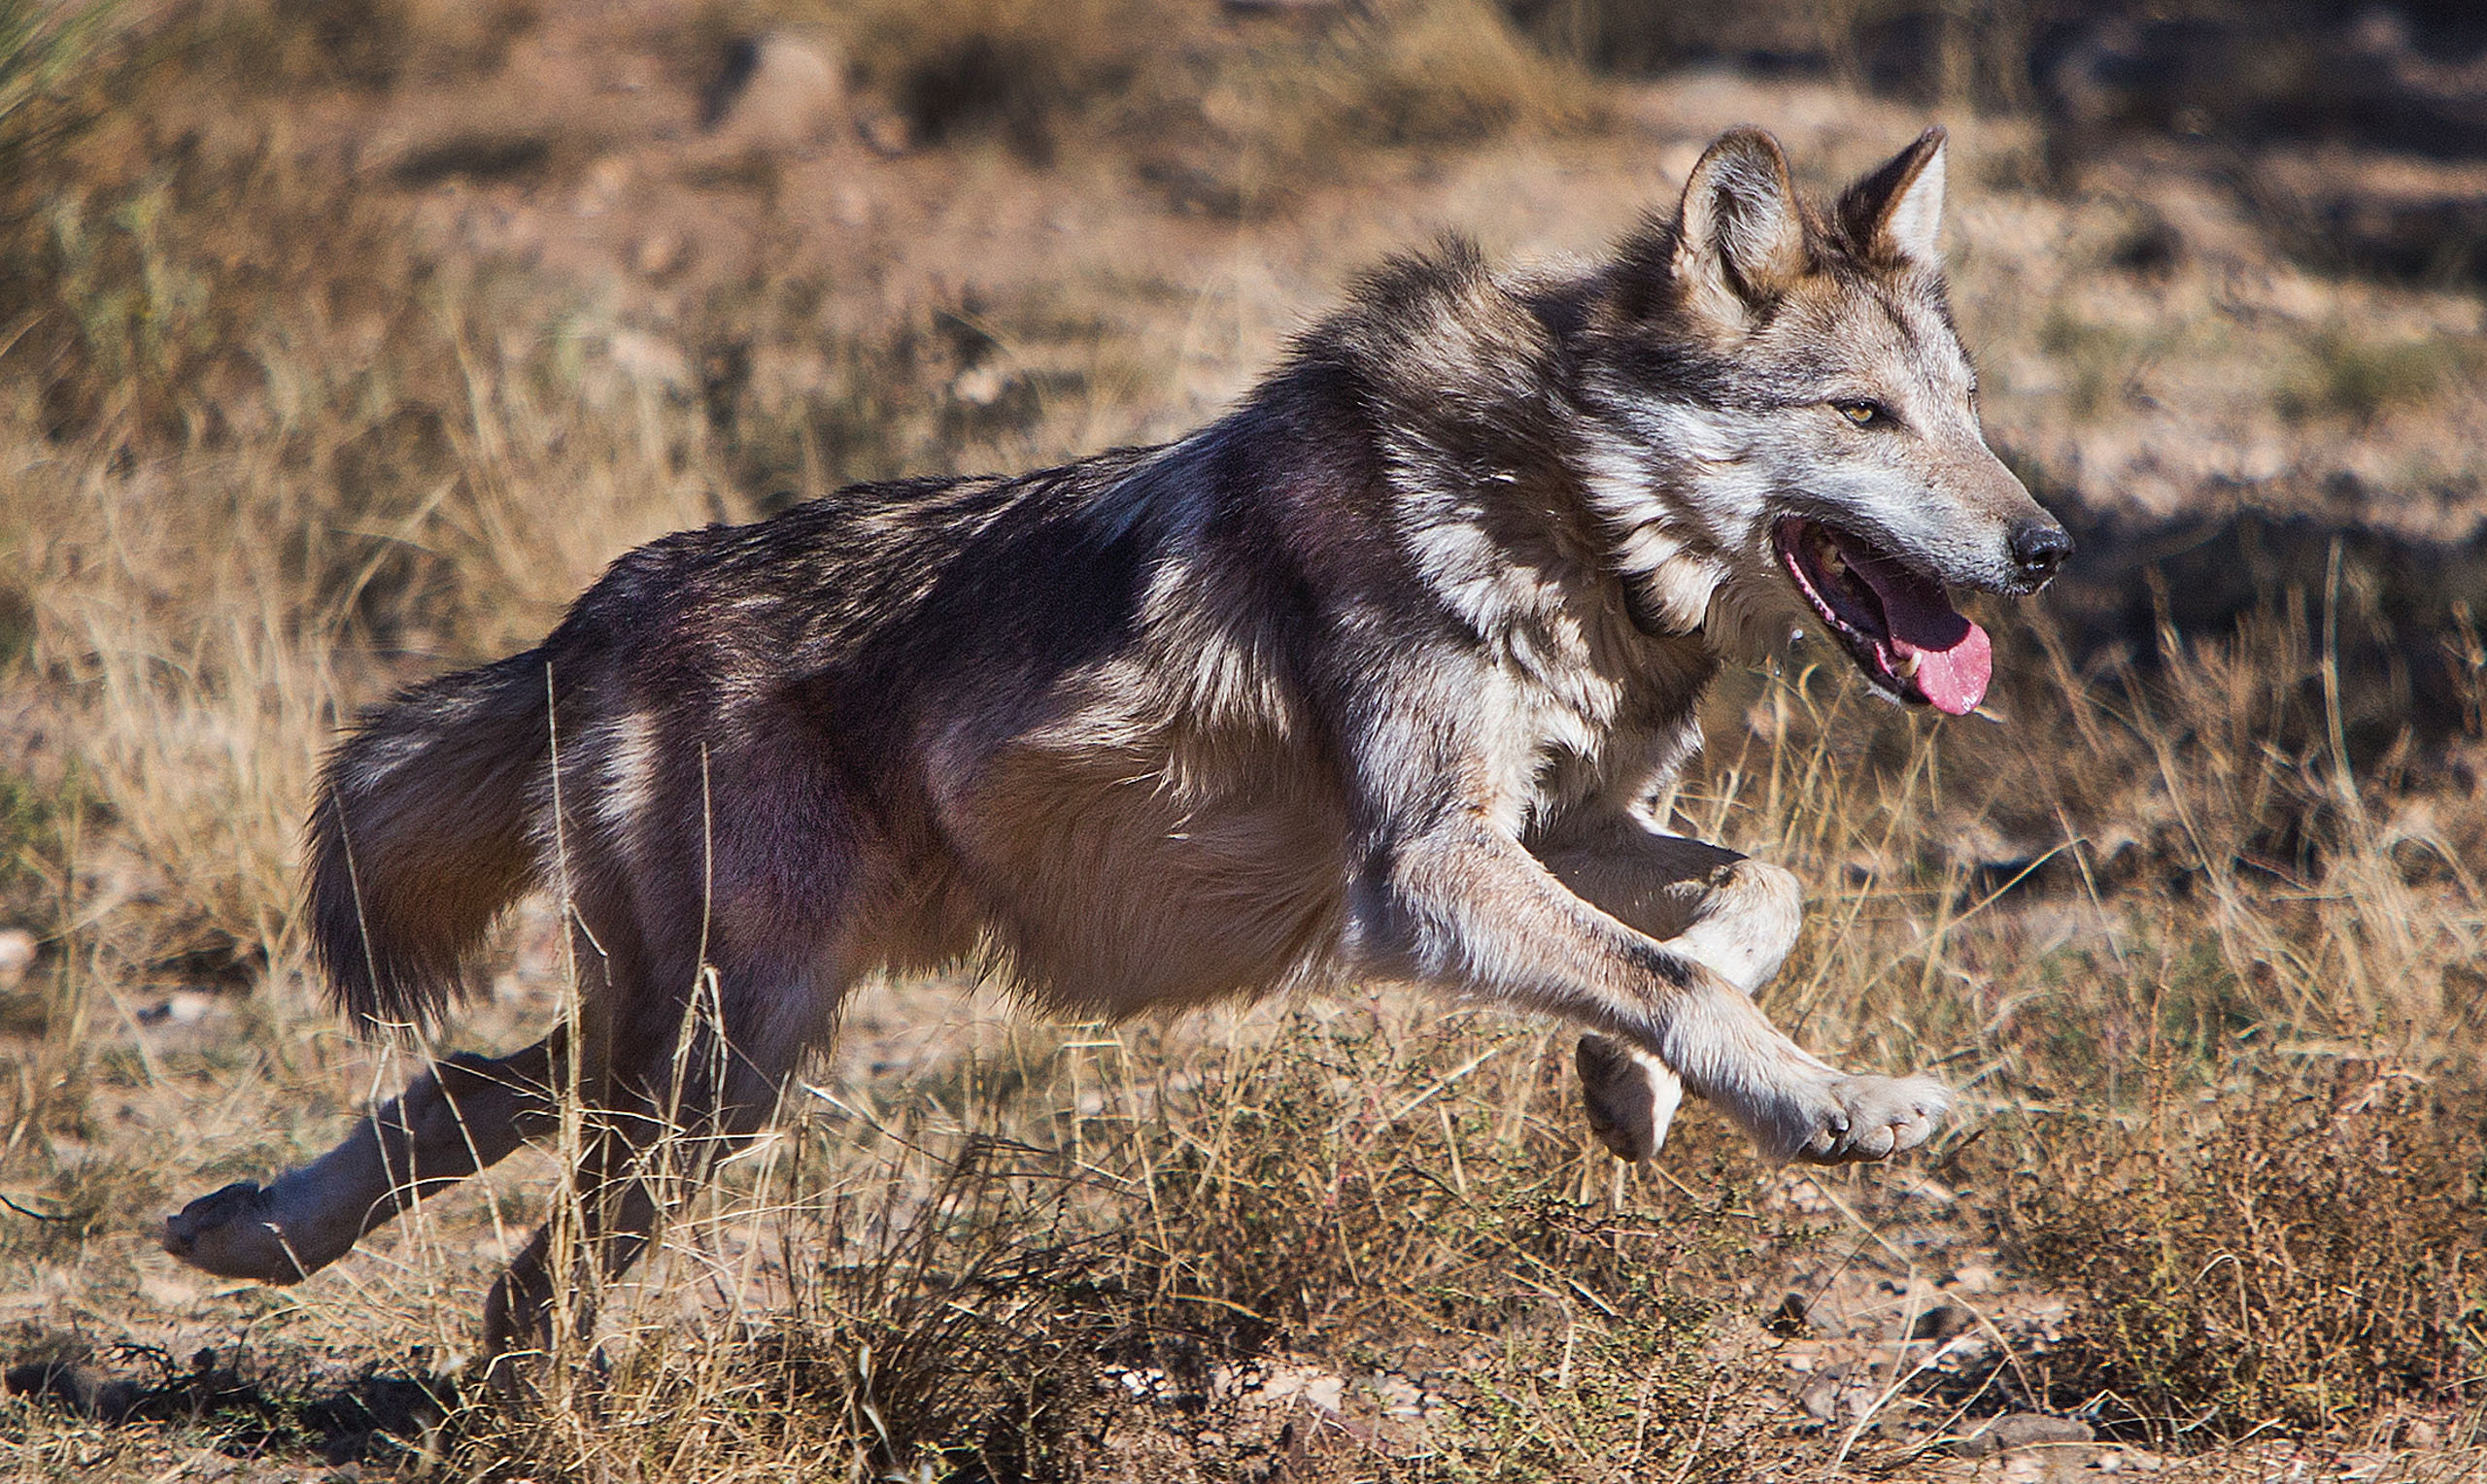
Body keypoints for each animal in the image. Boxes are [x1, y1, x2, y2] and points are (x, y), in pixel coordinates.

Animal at [165, 127, 2079, 1352]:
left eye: (1971, 413)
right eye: (1862, 415)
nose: (2049, 547)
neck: (1559, 512)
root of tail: (593, 612)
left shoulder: (1564, 829)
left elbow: (1755, 902)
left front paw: (1634, 1091)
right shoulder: (1427, 874)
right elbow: (1682, 971)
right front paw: (1835, 1108)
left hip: (714, 1047)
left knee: (469, 1094)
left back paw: (248, 1231)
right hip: (715, 1061)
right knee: (532, 1257)